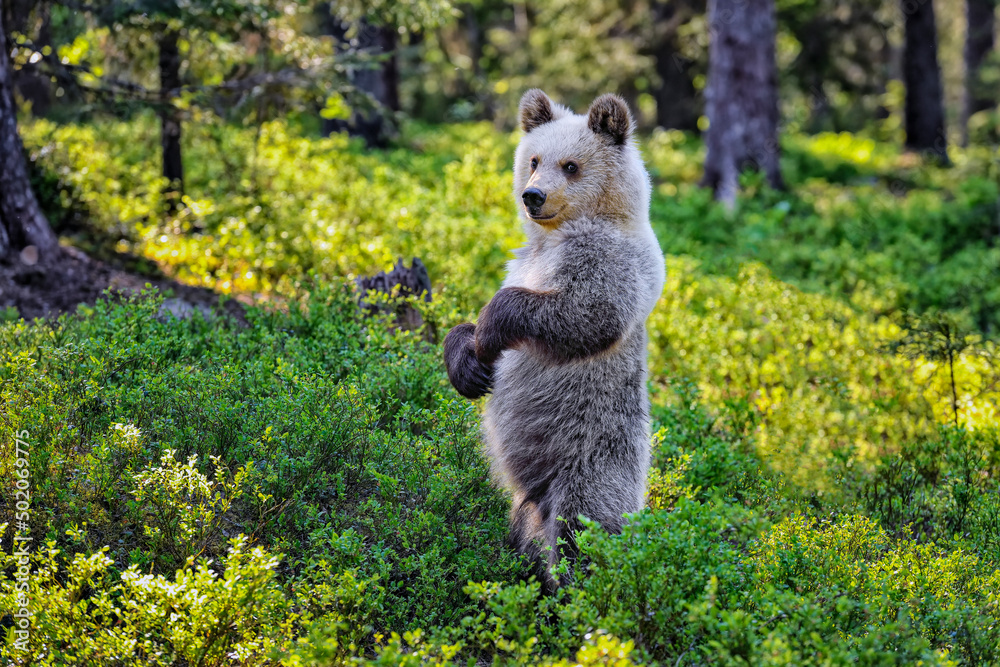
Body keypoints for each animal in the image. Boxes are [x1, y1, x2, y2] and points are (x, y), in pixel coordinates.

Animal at [444, 89, 666, 591]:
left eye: (571, 165)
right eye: (533, 160)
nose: (533, 195)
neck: (555, 237)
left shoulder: (610, 264)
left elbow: (582, 313)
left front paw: (490, 330)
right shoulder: (522, 261)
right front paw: (468, 364)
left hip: (592, 461)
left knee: (581, 529)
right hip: (527, 502)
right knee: (527, 533)